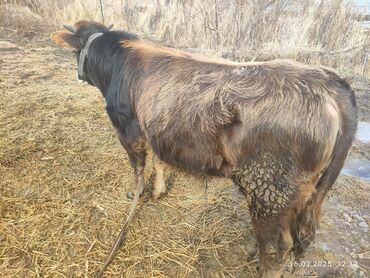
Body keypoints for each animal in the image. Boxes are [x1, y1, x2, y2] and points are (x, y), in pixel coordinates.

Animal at [50, 20, 356, 276]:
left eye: (76, 53)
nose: (78, 75)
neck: (120, 64)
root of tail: (328, 82)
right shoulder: (157, 130)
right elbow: (159, 161)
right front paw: (159, 191)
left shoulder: (128, 129)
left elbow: (138, 169)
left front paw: (135, 193)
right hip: (307, 194)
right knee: (304, 234)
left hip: (270, 189)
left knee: (278, 247)